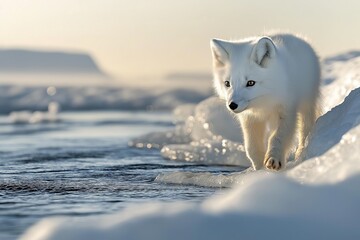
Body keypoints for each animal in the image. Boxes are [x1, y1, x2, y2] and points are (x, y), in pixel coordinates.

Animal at [211, 33, 320, 171]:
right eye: (227, 83)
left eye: (250, 83)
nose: (232, 105)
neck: (263, 103)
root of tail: (294, 36)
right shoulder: (249, 118)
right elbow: (252, 147)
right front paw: (259, 168)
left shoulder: (287, 111)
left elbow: (277, 137)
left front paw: (274, 159)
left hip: (307, 104)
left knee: (306, 127)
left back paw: (301, 152)